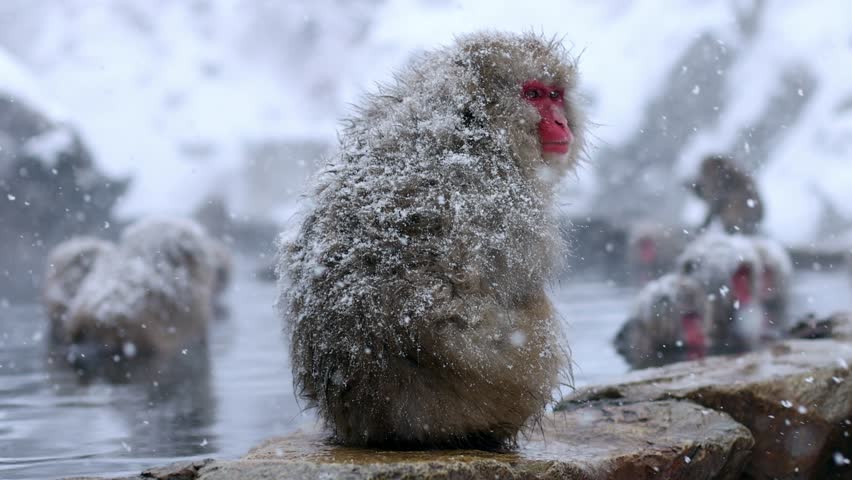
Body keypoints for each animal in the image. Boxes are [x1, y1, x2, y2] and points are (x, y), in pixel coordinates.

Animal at [279, 32, 585, 450]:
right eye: (533, 94)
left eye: (556, 94)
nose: (560, 121)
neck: (478, 124)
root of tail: (372, 421)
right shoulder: (508, 200)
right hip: (490, 386)